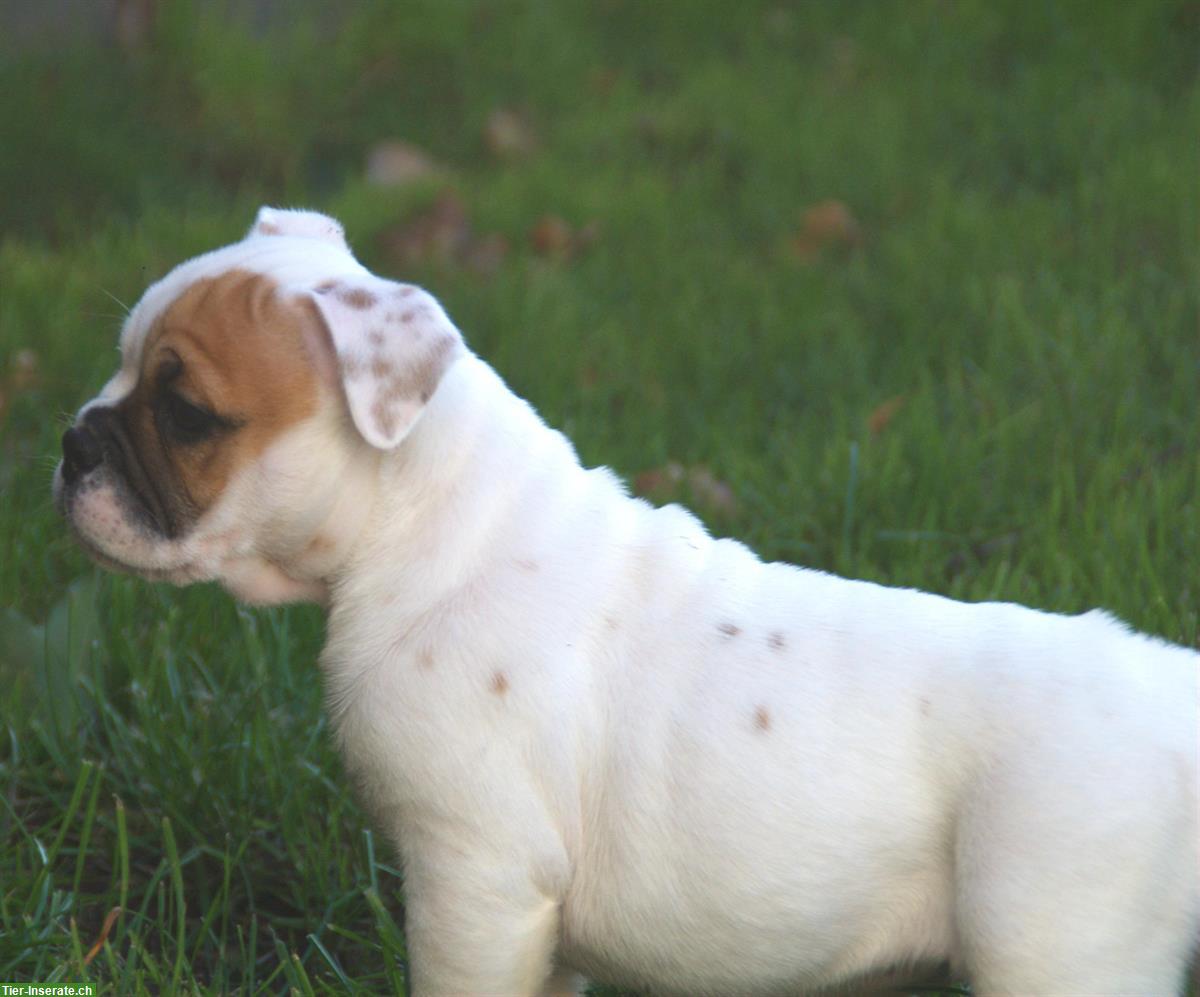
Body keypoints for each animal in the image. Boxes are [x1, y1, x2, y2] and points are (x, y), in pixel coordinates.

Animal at [58, 206, 1200, 993]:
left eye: (186, 413)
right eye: (119, 371)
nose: (72, 442)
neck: (433, 526)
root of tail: (1170, 685)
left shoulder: (474, 878)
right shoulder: (531, 915)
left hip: (1055, 947)